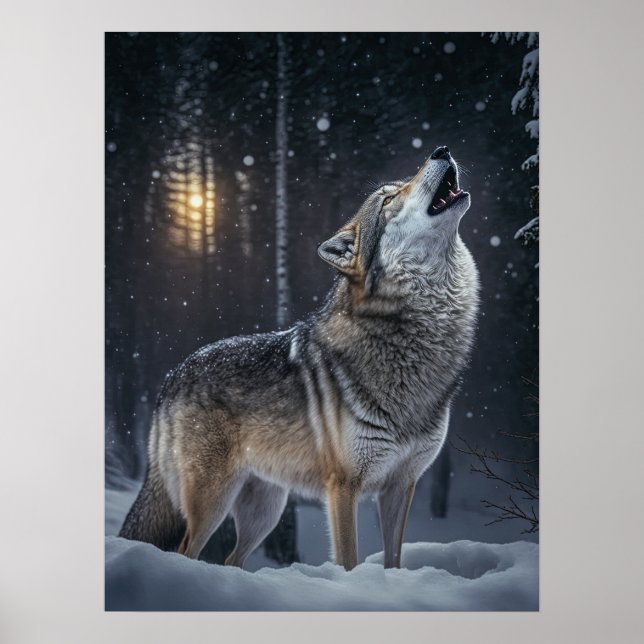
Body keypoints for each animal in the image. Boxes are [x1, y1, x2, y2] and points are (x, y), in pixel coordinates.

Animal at [119, 146, 480, 570]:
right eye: (389, 198)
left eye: (401, 185)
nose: (441, 150)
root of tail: (171, 376)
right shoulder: (343, 487)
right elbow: (349, 561)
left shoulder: (400, 486)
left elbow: (394, 561)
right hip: (213, 503)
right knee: (187, 552)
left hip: (266, 511)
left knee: (230, 560)